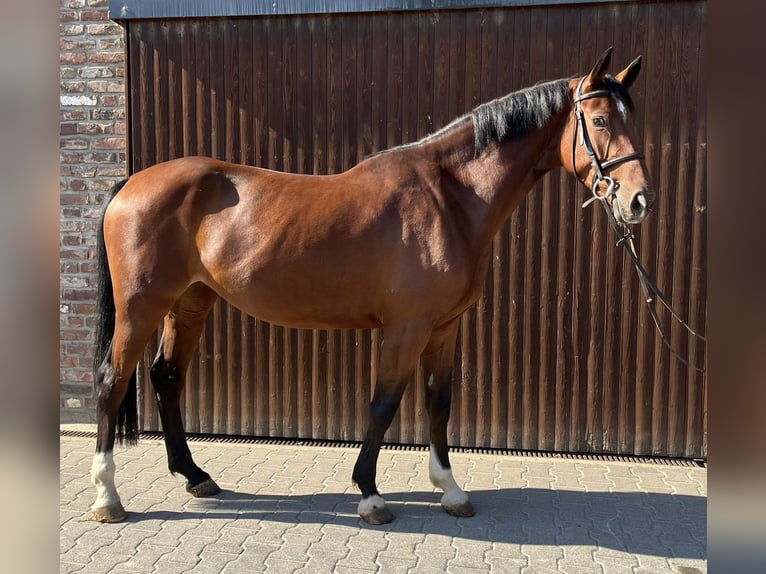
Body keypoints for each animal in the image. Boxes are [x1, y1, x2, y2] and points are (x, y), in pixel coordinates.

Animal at [90, 49, 656, 528]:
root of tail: (131, 183)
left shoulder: (445, 327)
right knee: (112, 382)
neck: (449, 199)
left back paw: (195, 476)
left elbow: (438, 403)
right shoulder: (406, 328)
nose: (639, 202)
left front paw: (450, 490)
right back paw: (107, 497)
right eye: (600, 121)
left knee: (166, 378)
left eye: (632, 119)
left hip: (189, 303)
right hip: (141, 307)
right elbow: (384, 405)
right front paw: (370, 494)